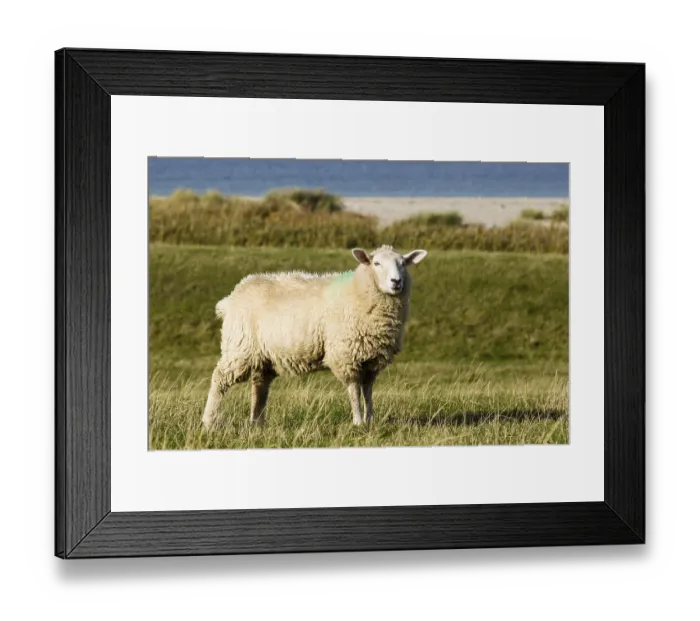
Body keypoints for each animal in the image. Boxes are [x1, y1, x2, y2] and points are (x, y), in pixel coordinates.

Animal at [201, 245, 428, 429]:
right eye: (377, 263)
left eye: (403, 264)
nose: (396, 282)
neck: (357, 292)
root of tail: (231, 298)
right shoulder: (346, 356)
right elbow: (354, 391)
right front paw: (358, 422)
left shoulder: (371, 360)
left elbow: (367, 391)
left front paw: (370, 420)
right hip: (240, 348)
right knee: (219, 379)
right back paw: (209, 421)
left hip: (263, 357)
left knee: (259, 387)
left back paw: (257, 423)